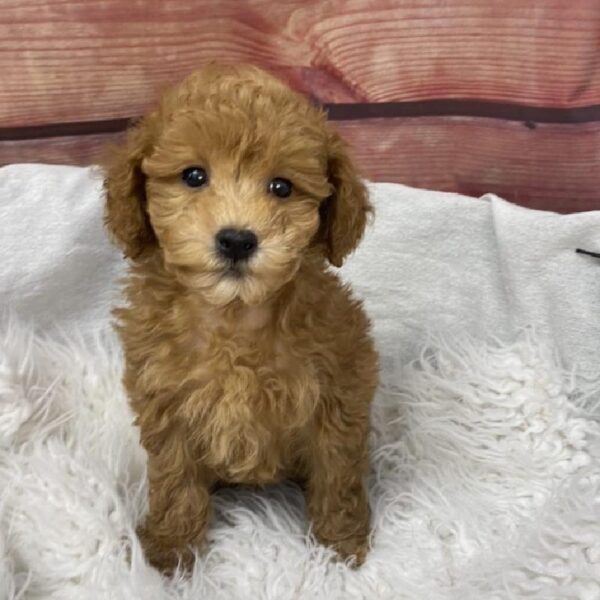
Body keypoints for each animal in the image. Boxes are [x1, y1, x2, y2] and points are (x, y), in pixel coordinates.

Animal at [102, 64, 376, 572]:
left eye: (281, 187)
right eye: (193, 176)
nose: (236, 240)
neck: (234, 316)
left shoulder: (337, 395)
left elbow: (337, 475)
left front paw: (340, 546)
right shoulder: (166, 405)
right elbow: (175, 482)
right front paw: (168, 551)